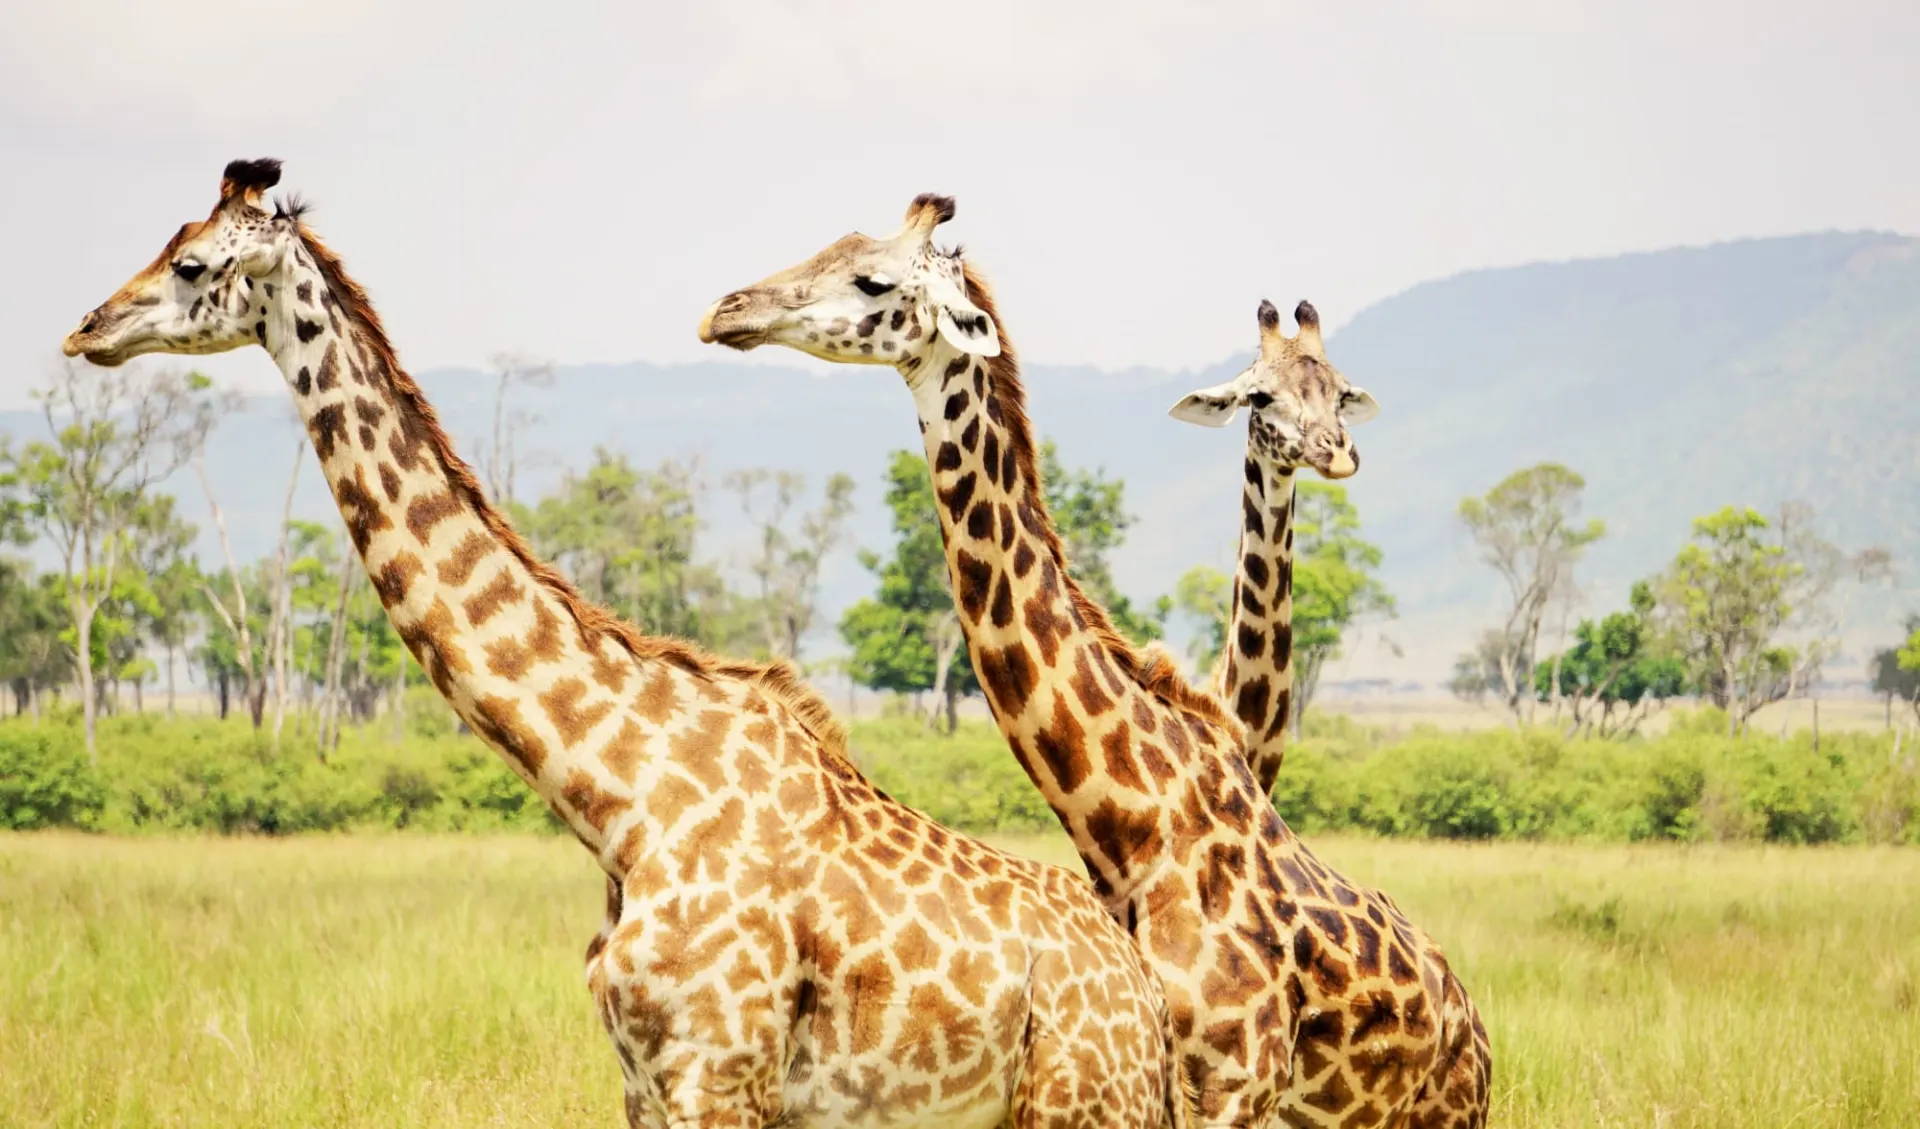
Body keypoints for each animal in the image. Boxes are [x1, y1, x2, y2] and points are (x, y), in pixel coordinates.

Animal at [63, 158, 1198, 1129]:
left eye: (192, 265)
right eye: (170, 243)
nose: (85, 328)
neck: (617, 795)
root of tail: (1143, 996)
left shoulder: (719, 1075)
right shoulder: (643, 1079)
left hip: (1083, 1102)